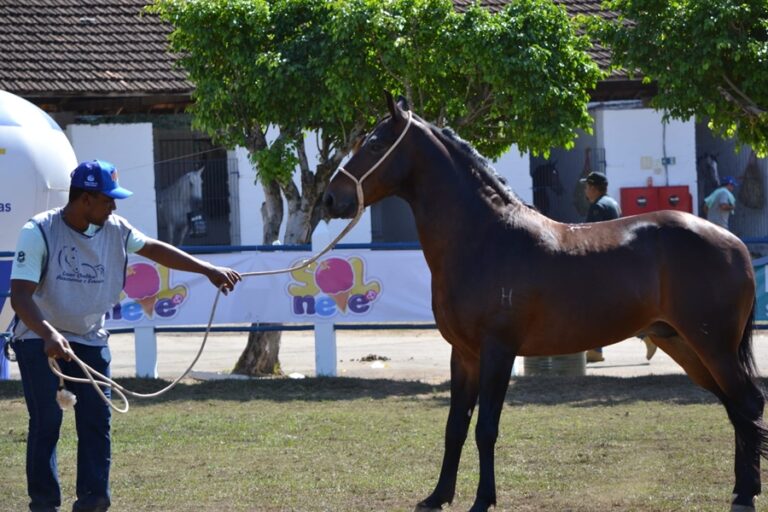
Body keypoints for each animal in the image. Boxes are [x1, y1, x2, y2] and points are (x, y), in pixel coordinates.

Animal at [323, 93, 765, 512]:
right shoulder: (463, 354)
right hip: (682, 343)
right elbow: (455, 427)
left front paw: (482, 500)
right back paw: (741, 490)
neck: (483, 238)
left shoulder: (498, 350)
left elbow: (486, 428)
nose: (330, 198)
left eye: (375, 144)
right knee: (735, 406)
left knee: (747, 402)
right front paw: (437, 497)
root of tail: (735, 244)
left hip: (712, 345)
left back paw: (745, 494)